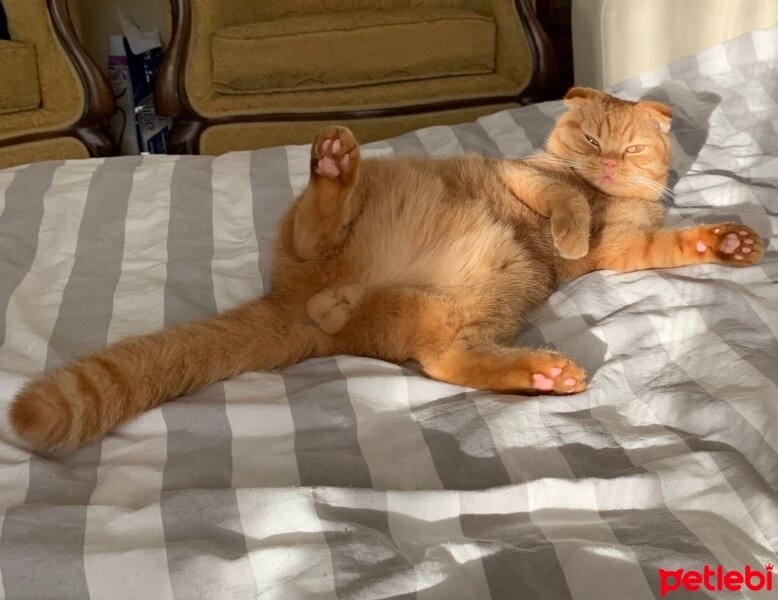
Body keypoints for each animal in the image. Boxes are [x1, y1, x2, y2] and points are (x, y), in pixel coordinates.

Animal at [10, 88, 764, 450]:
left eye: (629, 148)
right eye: (587, 137)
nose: (604, 164)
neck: (607, 197)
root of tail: (308, 304)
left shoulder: (626, 251)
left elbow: (668, 244)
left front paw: (727, 244)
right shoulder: (532, 179)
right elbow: (566, 199)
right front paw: (574, 224)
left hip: (487, 294)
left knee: (445, 361)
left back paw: (543, 375)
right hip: (363, 224)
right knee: (318, 232)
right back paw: (332, 164)